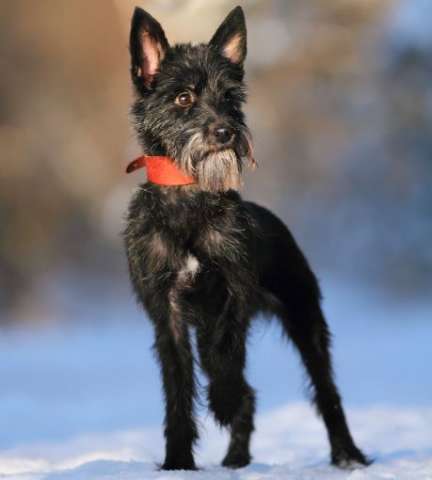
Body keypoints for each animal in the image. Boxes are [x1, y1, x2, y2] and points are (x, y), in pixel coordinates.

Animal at [123, 4, 370, 472]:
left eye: (230, 98)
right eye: (183, 97)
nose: (225, 132)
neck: (190, 197)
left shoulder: (233, 290)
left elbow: (227, 350)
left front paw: (221, 400)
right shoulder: (167, 310)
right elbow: (178, 387)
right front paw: (177, 460)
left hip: (304, 316)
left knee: (325, 391)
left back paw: (348, 455)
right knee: (249, 394)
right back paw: (237, 457)